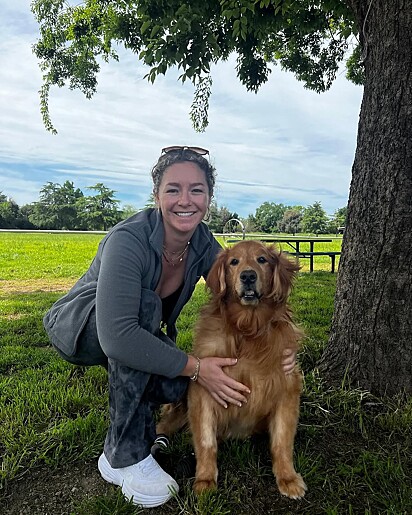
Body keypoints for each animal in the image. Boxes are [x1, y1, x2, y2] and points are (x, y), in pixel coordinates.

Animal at [158, 241, 306, 500]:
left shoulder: (286, 390)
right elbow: (206, 441)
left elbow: (282, 441)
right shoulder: (204, 393)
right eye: (234, 262)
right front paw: (205, 480)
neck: (248, 329)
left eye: (262, 259)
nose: (248, 276)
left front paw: (287, 478)